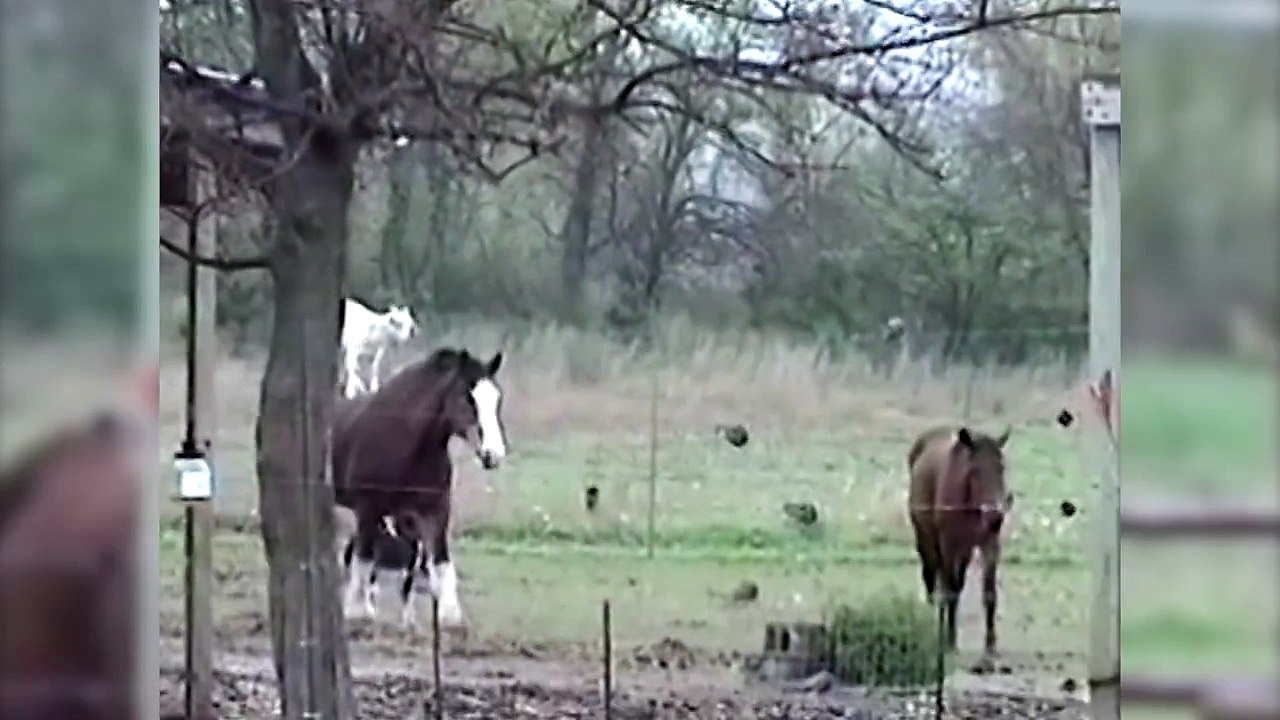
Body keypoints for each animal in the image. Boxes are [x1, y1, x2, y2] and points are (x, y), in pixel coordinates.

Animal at [332, 347, 506, 629]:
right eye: (467, 398)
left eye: (496, 399)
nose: (494, 454)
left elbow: (441, 563)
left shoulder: (434, 512)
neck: (405, 441)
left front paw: (450, 617)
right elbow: (364, 560)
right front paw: (357, 612)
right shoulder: (368, 509)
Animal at [907, 425, 1012, 657]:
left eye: (1001, 468)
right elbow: (951, 590)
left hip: (964, 550)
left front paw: (990, 644)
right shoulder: (949, 546)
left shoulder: (989, 545)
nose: (995, 518)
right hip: (927, 540)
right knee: (932, 576)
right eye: (974, 470)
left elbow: (989, 593)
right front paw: (950, 639)